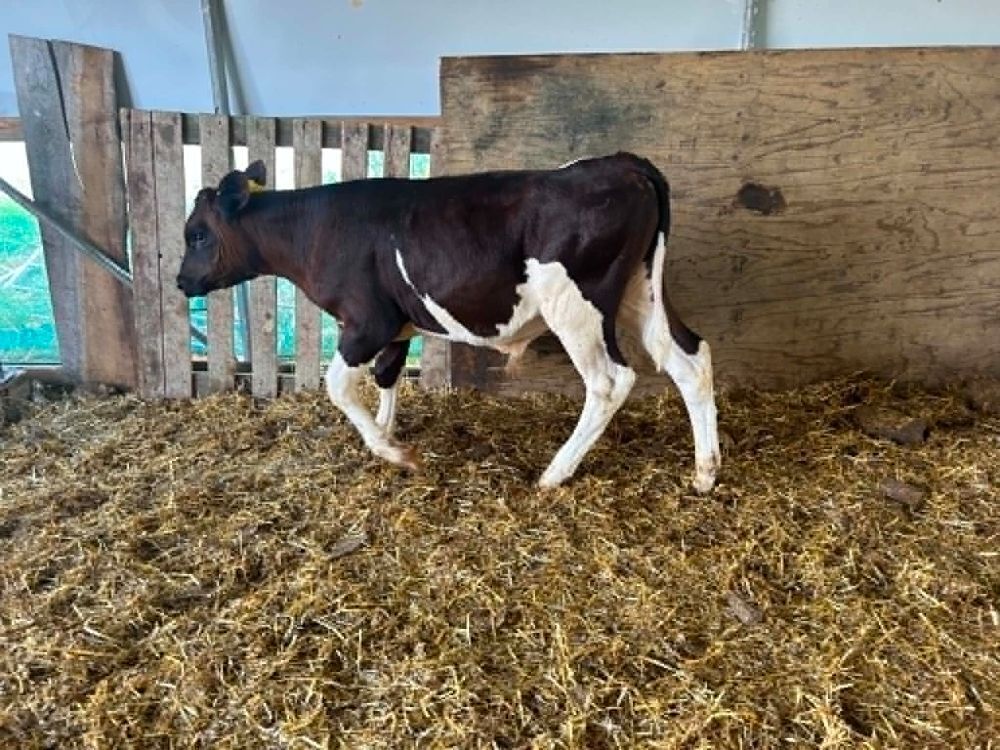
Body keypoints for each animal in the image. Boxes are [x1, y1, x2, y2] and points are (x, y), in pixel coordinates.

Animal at [177, 153, 721, 491]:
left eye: (197, 234)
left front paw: (392, 451)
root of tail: (623, 162)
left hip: (578, 306)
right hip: (641, 290)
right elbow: (387, 377)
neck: (317, 228)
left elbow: (338, 386)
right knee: (689, 357)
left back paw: (555, 473)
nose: (181, 281)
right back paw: (705, 472)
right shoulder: (398, 326)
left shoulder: (368, 322)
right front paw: (386, 433)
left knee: (610, 380)